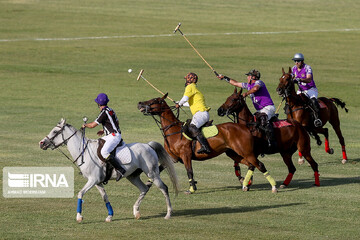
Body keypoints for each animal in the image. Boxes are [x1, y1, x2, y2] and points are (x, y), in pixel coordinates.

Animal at [39, 119, 180, 222]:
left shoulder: (93, 180)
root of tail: (148, 145)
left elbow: (80, 194)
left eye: (54, 131)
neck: (84, 152)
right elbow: (105, 197)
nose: (41, 143)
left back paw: (168, 214)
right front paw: (110, 216)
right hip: (133, 176)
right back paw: (136, 212)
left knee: (164, 188)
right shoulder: (97, 182)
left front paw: (79, 217)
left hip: (152, 173)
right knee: (144, 189)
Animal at [138, 93, 278, 194]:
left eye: (154, 100)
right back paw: (245, 183)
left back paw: (273, 187)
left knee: (259, 165)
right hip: (233, 153)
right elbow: (157, 170)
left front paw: (192, 189)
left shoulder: (186, 155)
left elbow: (189, 171)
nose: (139, 103)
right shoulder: (173, 158)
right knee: (251, 165)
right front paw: (147, 184)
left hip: (246, 151)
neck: (173, 131)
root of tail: (245, 127)